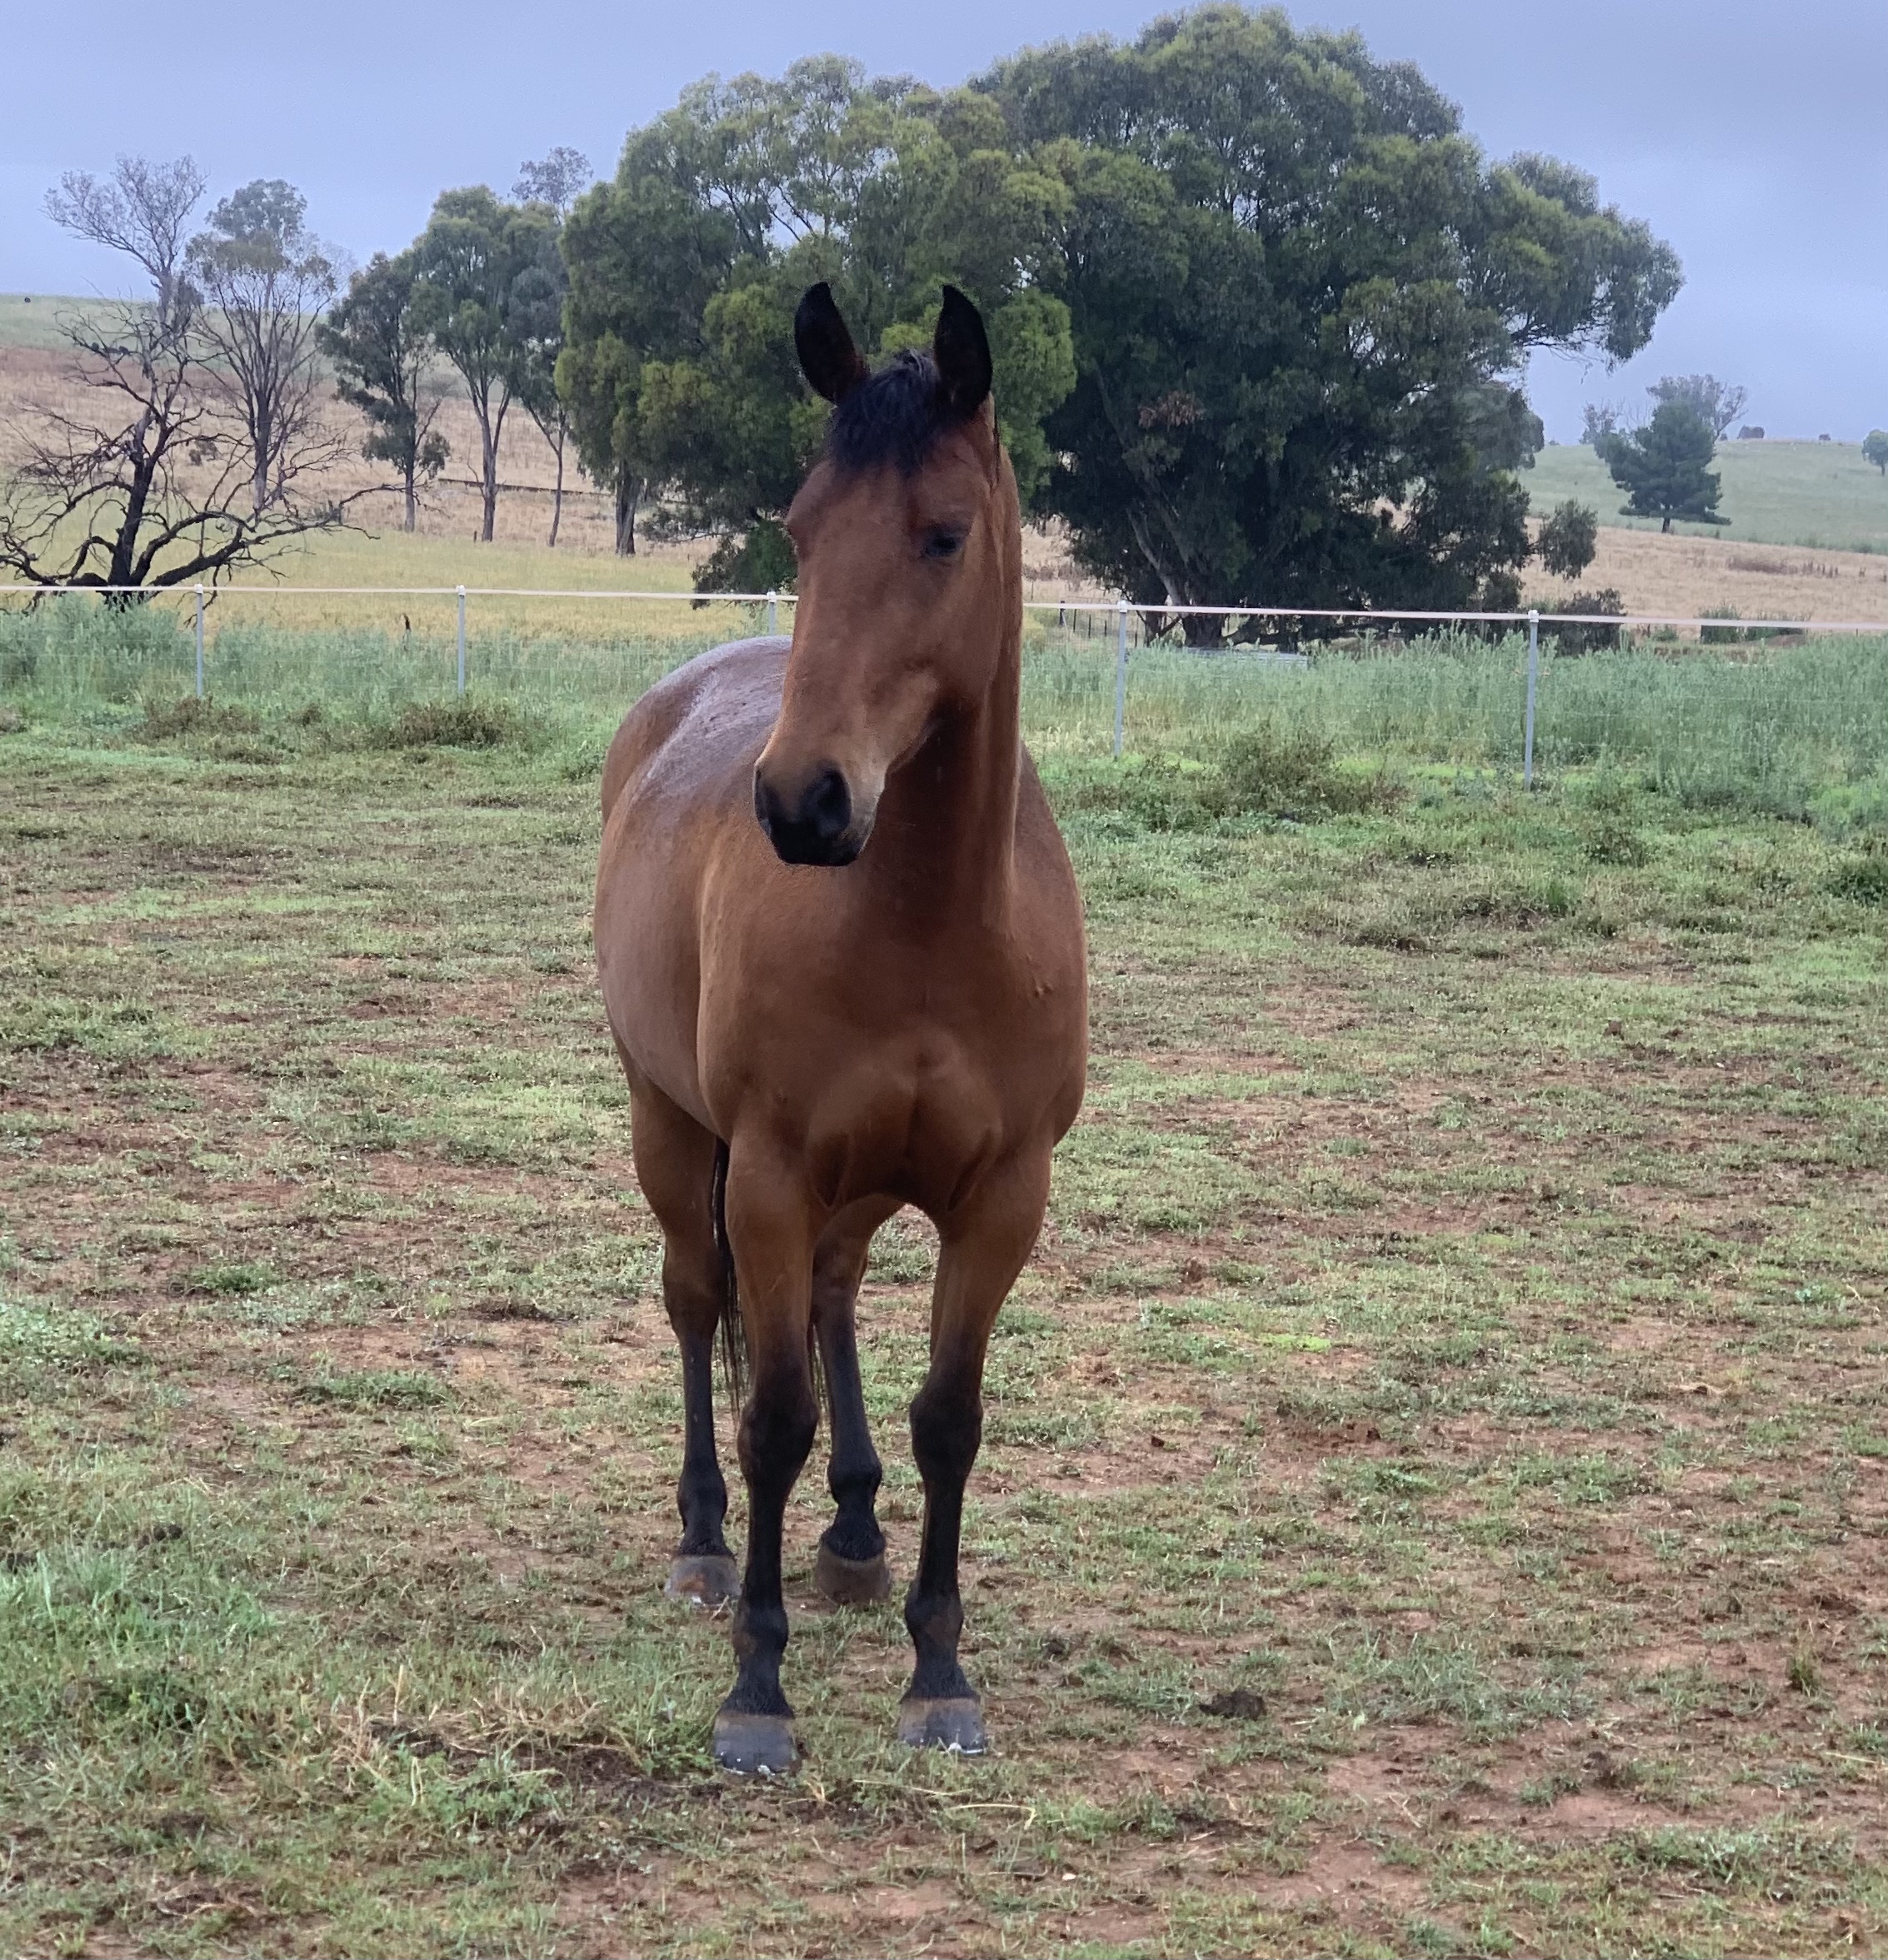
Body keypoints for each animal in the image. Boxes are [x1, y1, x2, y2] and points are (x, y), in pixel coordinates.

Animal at [593, 282, 1088, 1774]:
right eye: (802, 526)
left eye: (944, 532)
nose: (802, 801)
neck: (927, 923)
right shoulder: (763, 1172)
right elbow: (773, 1416)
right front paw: (758, 1688)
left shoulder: (1001, 1197)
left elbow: (949, 1419)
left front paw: (939, 1668)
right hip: (666, 1125)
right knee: (696, 1306)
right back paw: (705, 1544)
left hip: (859, 1186)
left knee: (831, 1295)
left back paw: (859, 1534)